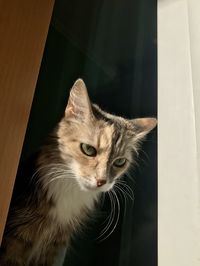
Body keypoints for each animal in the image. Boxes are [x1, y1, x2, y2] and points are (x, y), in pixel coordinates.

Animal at [0, 79, 156, 266]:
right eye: (88, 149)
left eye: (119, 162)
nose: (101, 181)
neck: (70, 191)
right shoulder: (16, 241)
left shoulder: (54, 247)